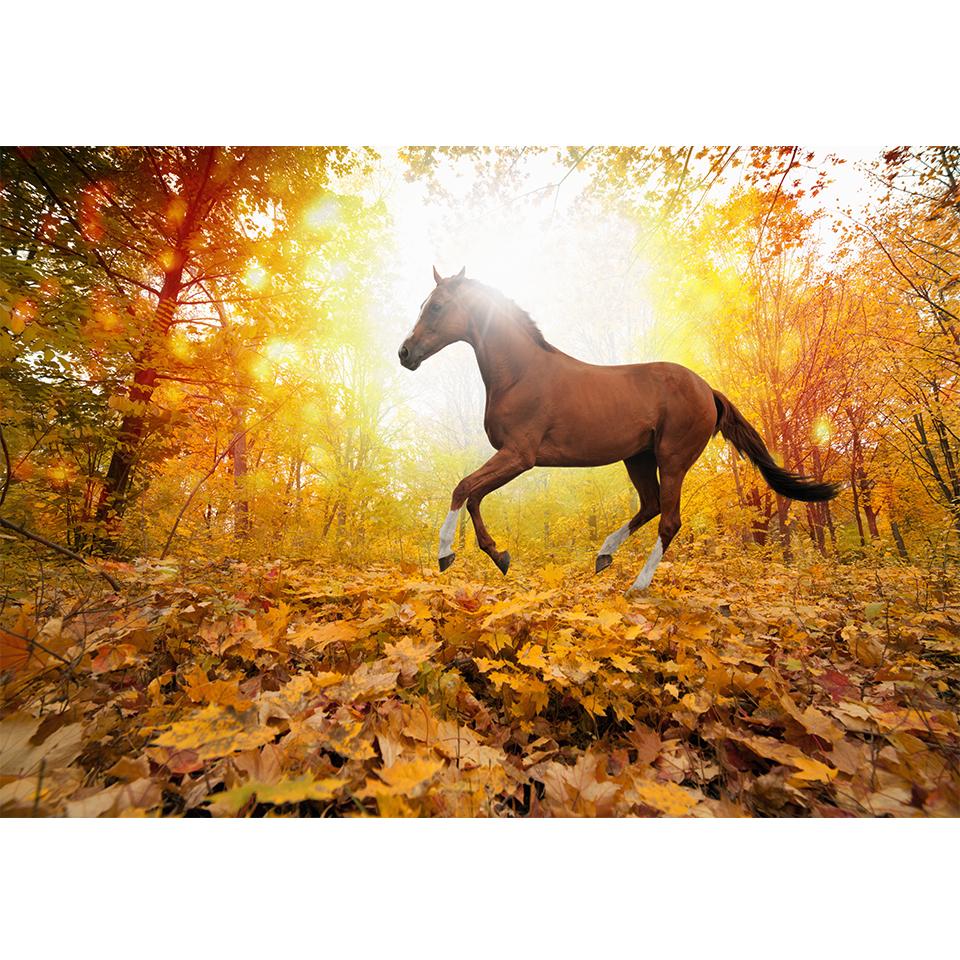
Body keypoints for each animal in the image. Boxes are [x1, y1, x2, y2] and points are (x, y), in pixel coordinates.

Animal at [399, 267, 839, 593]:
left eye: (436, 306)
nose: (404, 353)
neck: (521, 373)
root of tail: (708, 390)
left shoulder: (519, 456)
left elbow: (463, 488)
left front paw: (445, 554)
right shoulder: (511, 458)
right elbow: (474, 495)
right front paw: (499, 556)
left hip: (672, 459)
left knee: (669, 520)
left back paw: (637, 585)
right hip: (638, 458)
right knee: (650, 505)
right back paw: (604, 555)